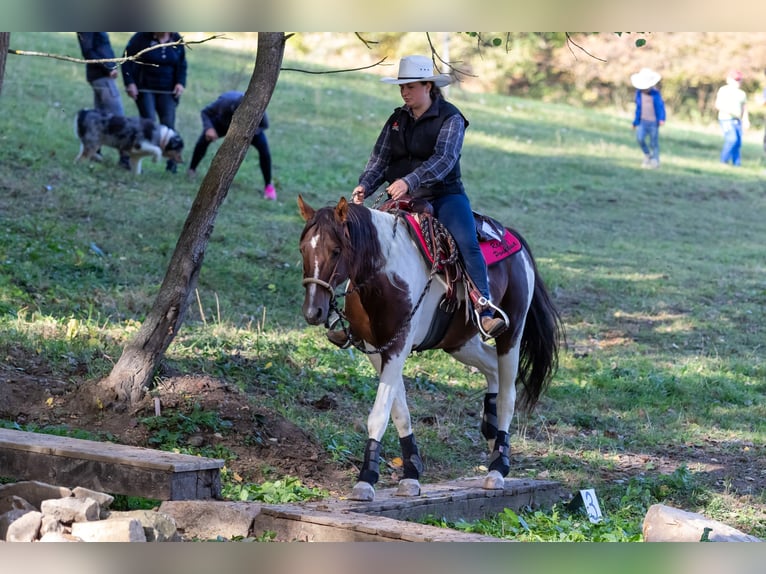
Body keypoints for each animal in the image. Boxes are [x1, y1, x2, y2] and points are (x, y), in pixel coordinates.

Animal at [297, 194, 563, 502]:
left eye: (336, 250)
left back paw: (498, 468)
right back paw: (493, 436)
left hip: (512, 333)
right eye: (303, 249)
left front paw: (366, 480)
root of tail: (512, 237)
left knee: (508, 394)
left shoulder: (398, 346)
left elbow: (379, 414)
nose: (313, 311)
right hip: (459, 342)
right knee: (492, 368)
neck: (385, 273)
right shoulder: (378, 349)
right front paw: (411, 474)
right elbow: (399, 411)